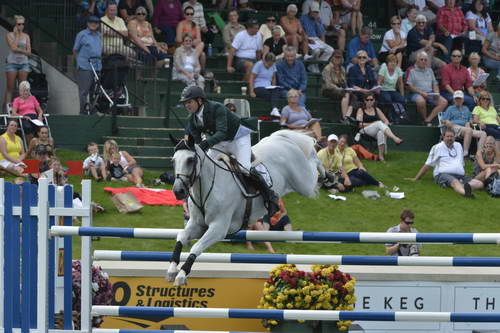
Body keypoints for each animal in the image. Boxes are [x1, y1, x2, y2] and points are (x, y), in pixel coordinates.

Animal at [166, 128, 326, 284]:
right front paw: (172, 269)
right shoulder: (197, 225)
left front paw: (182, 274)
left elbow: (197, 246)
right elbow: (181, 237)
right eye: (173, 161)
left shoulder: (219, 228)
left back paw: (325, 171)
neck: (207, 187)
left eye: (190, 160)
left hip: (304, 184)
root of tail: (280, 139)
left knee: (313, 162)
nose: (178, 191)